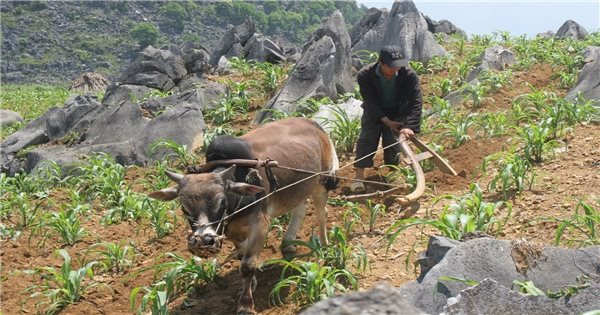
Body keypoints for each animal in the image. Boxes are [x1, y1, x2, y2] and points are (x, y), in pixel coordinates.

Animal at [148, 117, 340, 314]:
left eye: (222, 202)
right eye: (184, 208)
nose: (204, 242)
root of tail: (314, 124)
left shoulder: (260, 225)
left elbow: (247, 265)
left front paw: (245, 304)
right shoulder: (232, 232)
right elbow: (242, 256)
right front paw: (251, 284)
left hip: (322, 182)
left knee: (321, 213)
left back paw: (325, 248)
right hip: (298, 188)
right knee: (300, 209)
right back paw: (288, 244)